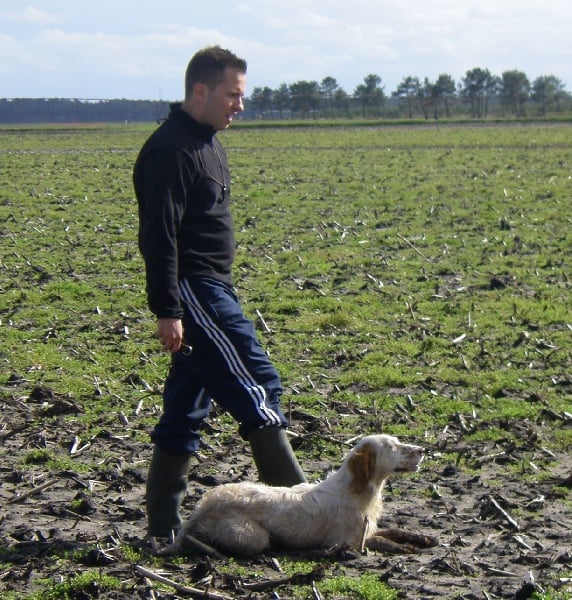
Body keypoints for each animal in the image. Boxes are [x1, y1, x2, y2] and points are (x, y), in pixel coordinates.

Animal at [177, 434, 432, 556]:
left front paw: (423, 538)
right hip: (252, 536)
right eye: (392, 447)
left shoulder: (366, 528)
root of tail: (201, 506)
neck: (354, 488)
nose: (423, 450)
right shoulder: (345, 540)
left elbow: (393, 531)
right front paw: (404, 547)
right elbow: (380, 540)